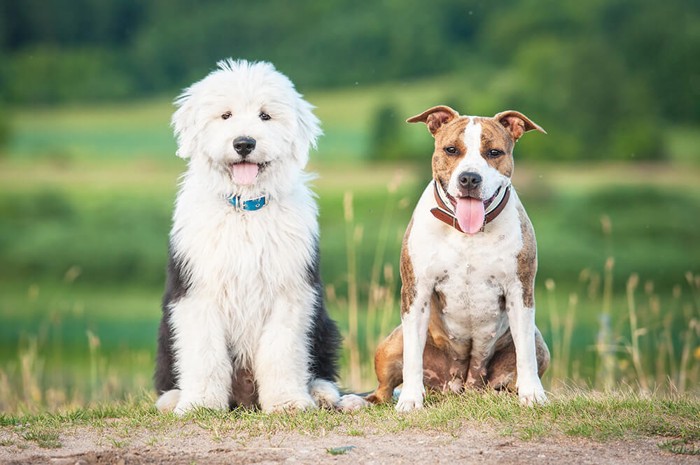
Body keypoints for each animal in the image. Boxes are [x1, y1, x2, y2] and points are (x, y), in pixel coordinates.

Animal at [155, 59, 358, 414]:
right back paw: (174, 399)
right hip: (167, 333)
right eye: (225, 115)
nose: (244, 143)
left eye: (265, 115)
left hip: (324, 326)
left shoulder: (291, 294)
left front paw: (289, 402)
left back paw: (323, 393)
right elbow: (205, 353)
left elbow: (282, 351)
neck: (246, 210)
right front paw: (201, 404)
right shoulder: (198, 294)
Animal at [366, 105, 552, 410]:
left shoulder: (520, 290)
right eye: (451, 149)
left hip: (538, 346)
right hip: (390, 345)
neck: (468, 233)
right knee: (383, 389)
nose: (469, 178)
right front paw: (410, 399)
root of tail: (462, 385)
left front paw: (532, 394)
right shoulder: (416, 292)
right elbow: (412, 357)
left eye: (494, 153)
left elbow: (525, 353)